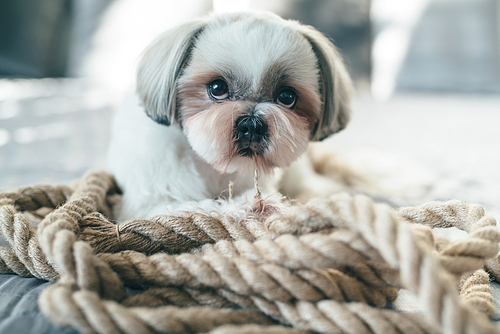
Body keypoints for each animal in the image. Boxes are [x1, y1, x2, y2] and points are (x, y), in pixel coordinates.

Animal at [108, 10, 354, 220]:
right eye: (217, 88)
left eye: (287, 97)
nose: (252, 124)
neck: (213, 168)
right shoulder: (147, 207)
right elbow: (200, 207)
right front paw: (250, 205)